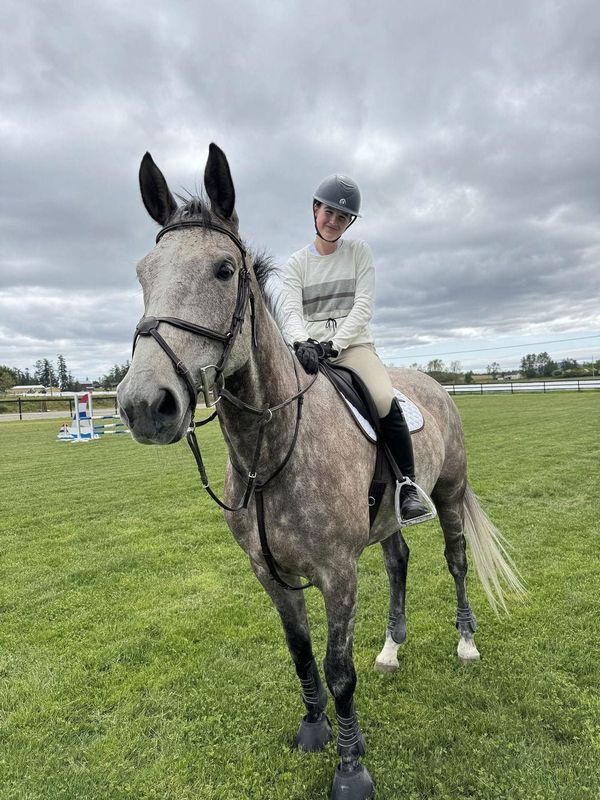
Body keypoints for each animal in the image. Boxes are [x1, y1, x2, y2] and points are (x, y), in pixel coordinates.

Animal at [117, 143, 524, 800]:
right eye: (142, 273)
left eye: (223, 270)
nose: (143, 406)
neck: (269, 452)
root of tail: (433, 383)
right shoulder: (270, 573)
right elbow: (301, 654)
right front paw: (313, 729)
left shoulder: (337, 572)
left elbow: (339, 671)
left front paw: (351, 769)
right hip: (386, 520)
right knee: (399, 561)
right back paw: (391, 649)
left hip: (450, 492)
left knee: (456, 560)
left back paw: (465, 641)